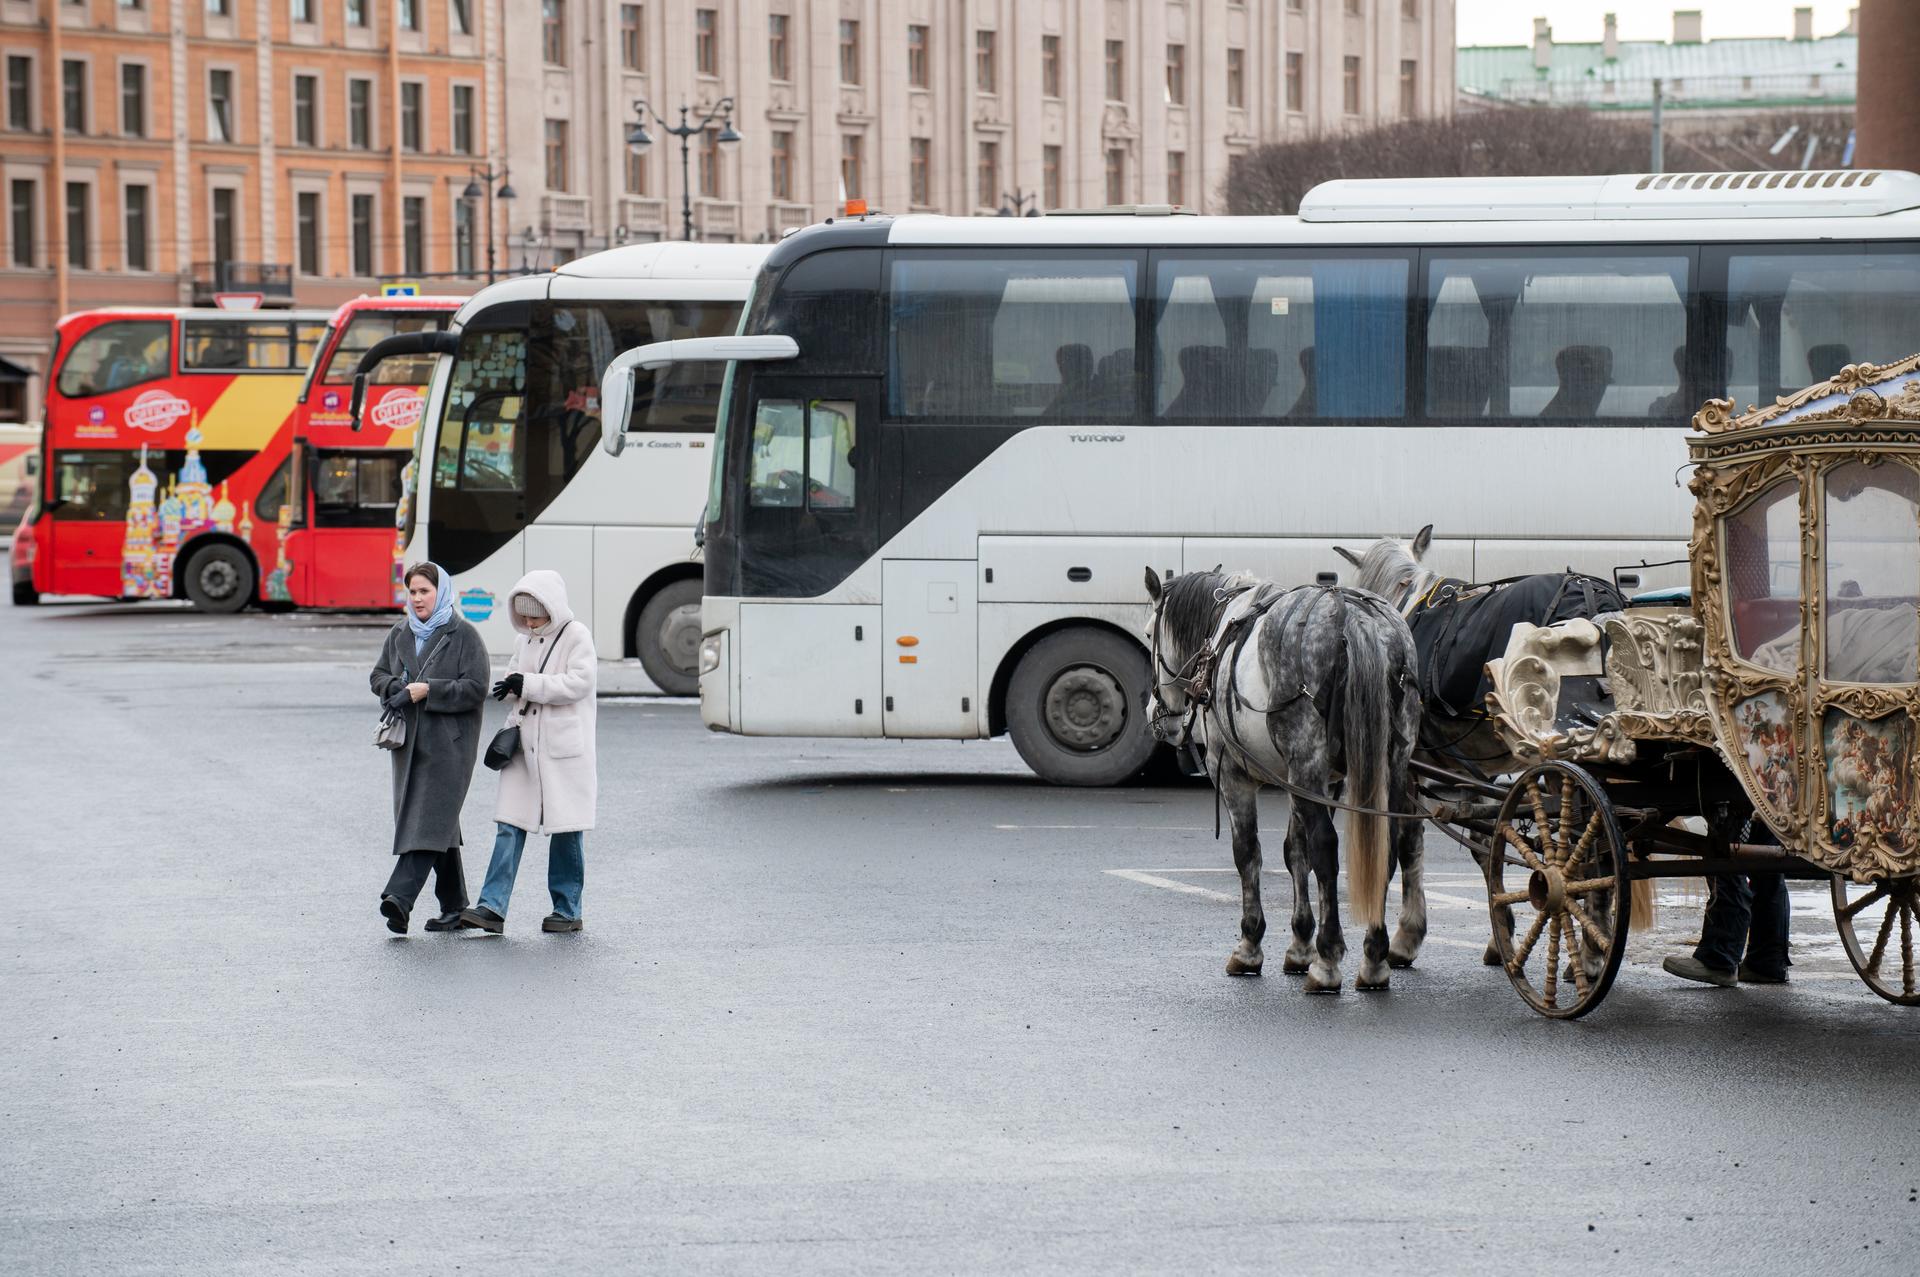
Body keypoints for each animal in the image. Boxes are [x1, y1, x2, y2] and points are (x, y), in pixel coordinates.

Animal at [1136, 568, 1428, 998]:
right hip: (1388, 765)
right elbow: (1295, 852)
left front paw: (1251, 945)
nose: (1157, 715)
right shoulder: (1305, 781)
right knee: (1389, 845)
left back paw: (1328, 962)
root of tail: (1355, 620)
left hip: (1307, 762)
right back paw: (1374, 955)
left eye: (1147, 634)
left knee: (1327, 848)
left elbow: (1249, 854)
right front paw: (1300, 943)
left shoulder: (1233, 774)